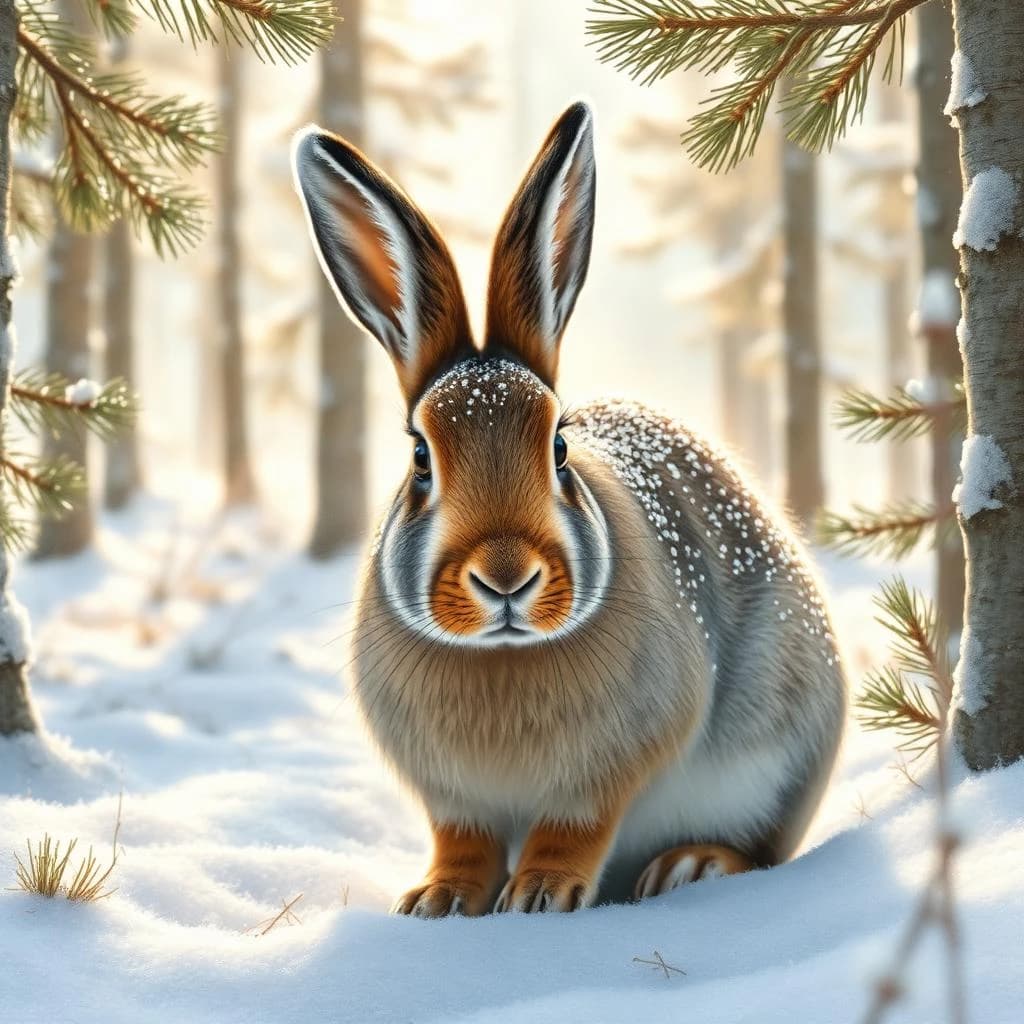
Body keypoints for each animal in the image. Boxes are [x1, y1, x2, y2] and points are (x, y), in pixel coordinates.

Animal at [292, 101, 846, 916]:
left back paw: (691, 866)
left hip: (784, 745)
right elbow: (462, 840)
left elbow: (574, 823)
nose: (506, 578)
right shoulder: (453, 798)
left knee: (762, 848)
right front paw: (440, 901)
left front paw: (540, 894)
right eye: (420, 457)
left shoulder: (611, 764)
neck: (502, 654)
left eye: (557, 447)